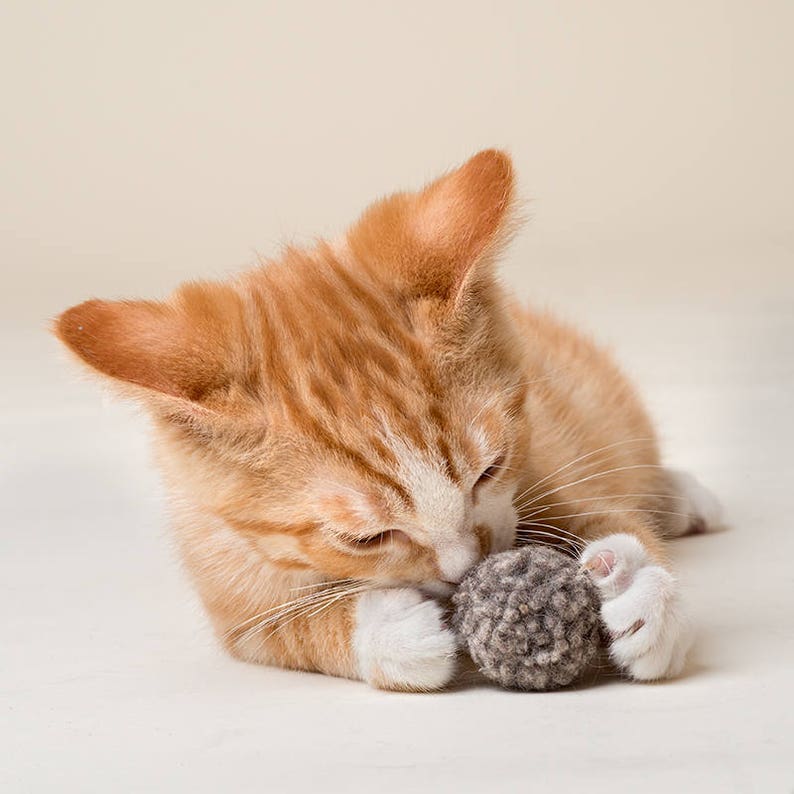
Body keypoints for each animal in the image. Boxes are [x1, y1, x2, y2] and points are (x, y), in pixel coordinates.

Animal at [54, 148, 716, 688]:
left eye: (491, 469)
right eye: (365, 539)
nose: (466, 571)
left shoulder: (547, 466)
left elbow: (602, 511)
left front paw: (635, 586)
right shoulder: (229, 594)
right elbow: (286, 630)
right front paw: (388, 632)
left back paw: (680, 497)